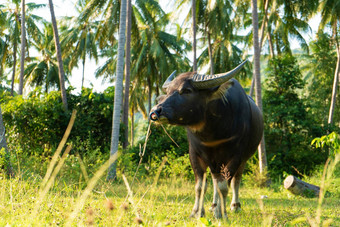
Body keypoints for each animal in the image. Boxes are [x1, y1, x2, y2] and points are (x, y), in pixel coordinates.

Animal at [149, 61, 262, 219]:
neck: (212, 132)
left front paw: (222, 213)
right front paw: (196, 212)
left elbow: (224, 186)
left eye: (187, 90)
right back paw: (213, 206)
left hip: (243, 159)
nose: (155, 111)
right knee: (215, 180)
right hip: (215, 162)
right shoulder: (194, 153)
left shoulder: (236, 156)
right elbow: (200, 186)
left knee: (235, 181)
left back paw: (234, 206)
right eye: (169, 91)